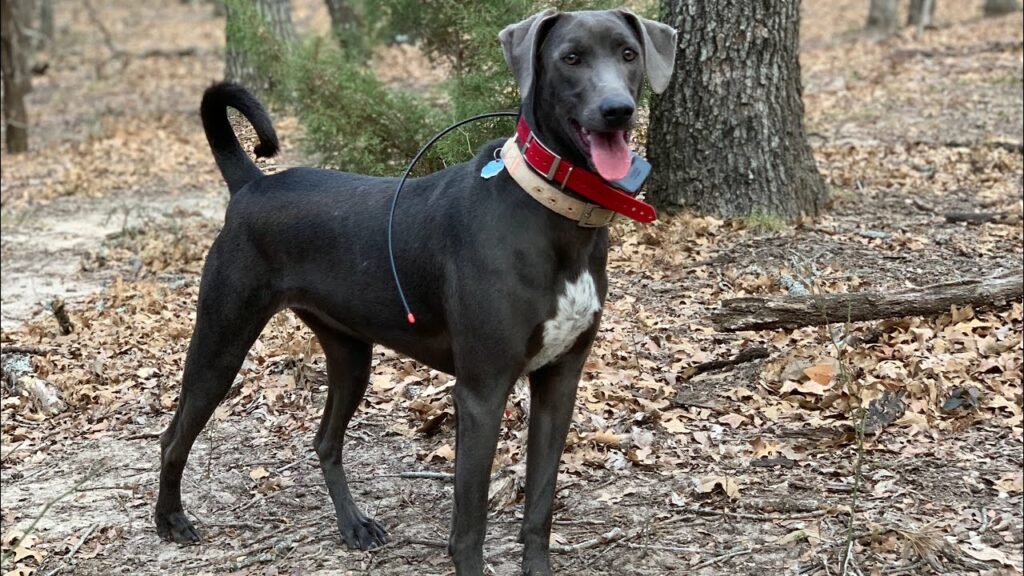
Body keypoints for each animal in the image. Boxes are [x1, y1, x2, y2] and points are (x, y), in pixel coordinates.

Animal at [155, 8, 675, 573]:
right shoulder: (481, 392)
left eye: (628, 53)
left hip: (350, 353)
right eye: (571, 58)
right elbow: (469, 526)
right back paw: (170, 521)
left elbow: (539, 507)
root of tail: (252, 182)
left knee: (325, 440)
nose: (617, 110)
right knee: (174, 435)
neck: (552, 210)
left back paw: (354, 526)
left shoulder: (560, 380)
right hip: (221, 341)